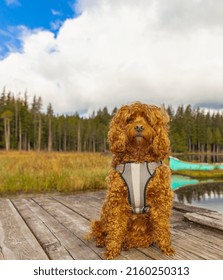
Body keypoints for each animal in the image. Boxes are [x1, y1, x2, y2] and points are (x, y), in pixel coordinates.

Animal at [88, 101, 174, 260]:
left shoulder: (161, 198)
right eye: (130, 119)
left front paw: (166, 247)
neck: (138, 160)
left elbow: (162, 225)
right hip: (101, 217)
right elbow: (115, 228)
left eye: (148, 120)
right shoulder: (117, 200)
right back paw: (102, 241)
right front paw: (111, 250)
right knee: (101, 231)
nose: (139, 127)